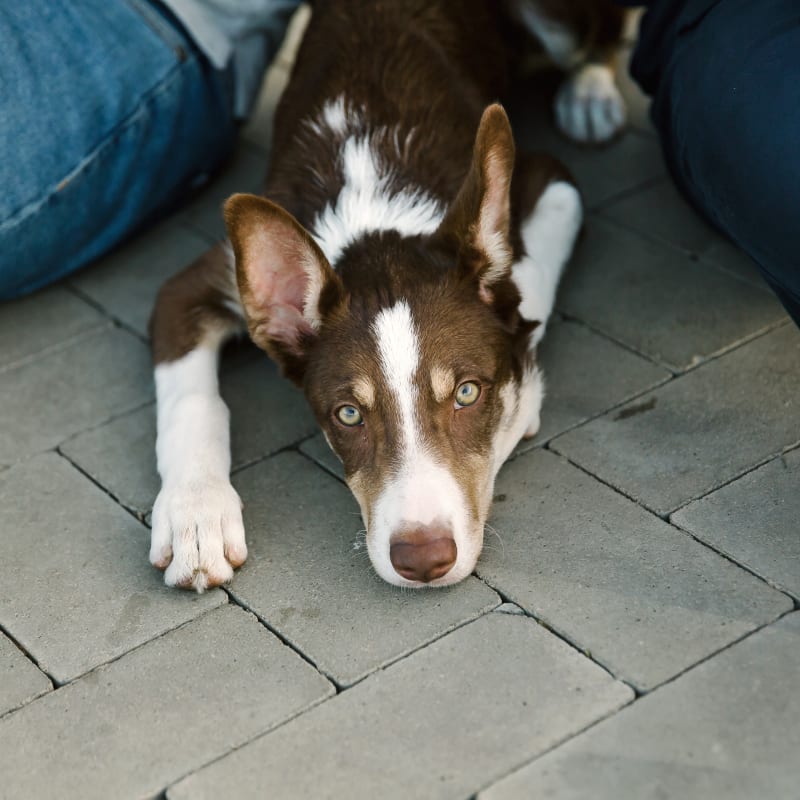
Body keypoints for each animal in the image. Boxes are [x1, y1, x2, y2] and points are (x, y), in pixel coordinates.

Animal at [148, 0, 624, 592]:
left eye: (468, 393)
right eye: (348, 414)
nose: (423, 560)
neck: (374, 200)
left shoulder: (553, 182)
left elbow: (524, 285)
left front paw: (523, 395)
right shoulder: (192, 287)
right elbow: (190, 402)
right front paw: (196, 515)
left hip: (556, 21)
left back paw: (591, 93)